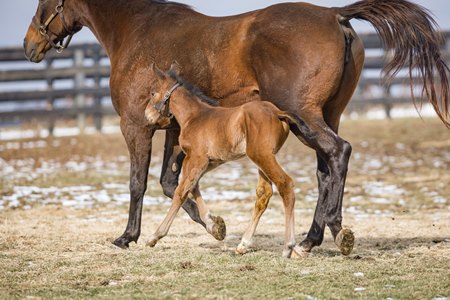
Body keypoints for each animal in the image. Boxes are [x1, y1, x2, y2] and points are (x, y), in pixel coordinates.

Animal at [144, 62, 320, 256]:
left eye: (152, 92)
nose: (147, 115)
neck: (194, 117)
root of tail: (277, 112)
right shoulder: (211, 161)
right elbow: (193, 186)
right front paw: (215, 226)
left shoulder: (196, 158)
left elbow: (181, 192)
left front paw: (154, 236)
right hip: (263, 158)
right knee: (264, 194)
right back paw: (244, 244)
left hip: (261, 156)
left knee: (285, 184)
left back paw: (288, 245)